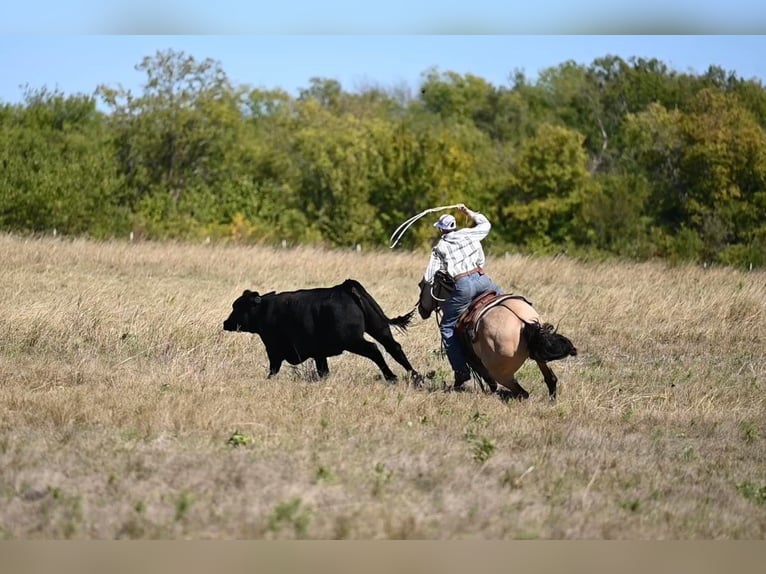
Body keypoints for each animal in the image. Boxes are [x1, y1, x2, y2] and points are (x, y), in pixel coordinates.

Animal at [222, 280, 426, 388]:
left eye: (238, 307)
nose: (226, 323)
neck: (264, 309)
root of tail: (343, 288)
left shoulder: (274, 348)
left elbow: (274, 368)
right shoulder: (319, 354)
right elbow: (323, 370)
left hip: (354, 341)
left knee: (374, 350)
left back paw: (391, 377)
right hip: (379, 329)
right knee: (394, 348)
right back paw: (415, 376)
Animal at [420, 278, 576, 402]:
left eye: (421, 285)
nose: (421, 310)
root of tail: (523, 322)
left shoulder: (473, 360)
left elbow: (487, 380)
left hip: (501, 373)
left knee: (522, 393)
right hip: (539, 357)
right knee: (550, 379)